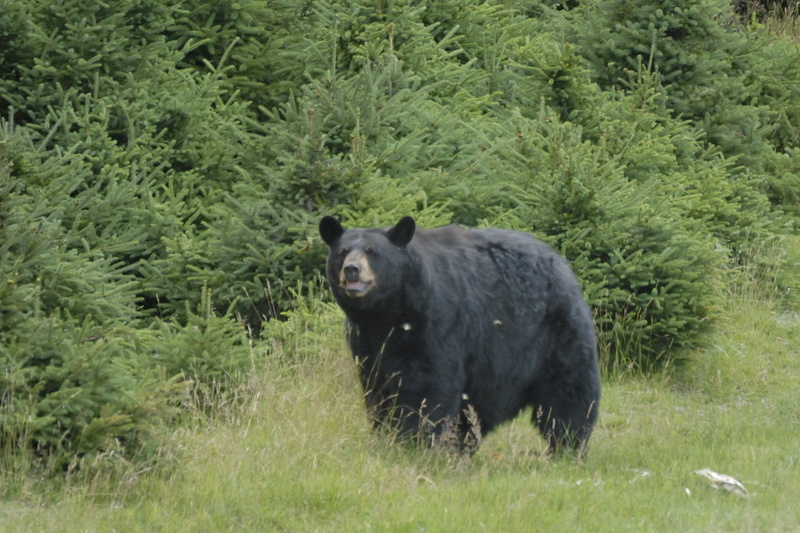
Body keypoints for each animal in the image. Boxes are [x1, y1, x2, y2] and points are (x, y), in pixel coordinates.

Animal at [320, 214, 600, 456]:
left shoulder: (437, 325)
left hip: (555, 334)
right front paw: (387, 434)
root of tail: (560, 262)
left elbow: (427, 388)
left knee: (568, 394)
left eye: (372, 252)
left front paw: (413, 440)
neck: (389, 314)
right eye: (343, 252)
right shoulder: (366, 341)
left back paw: (568, 446)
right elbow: (378, 389)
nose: (352, 269)